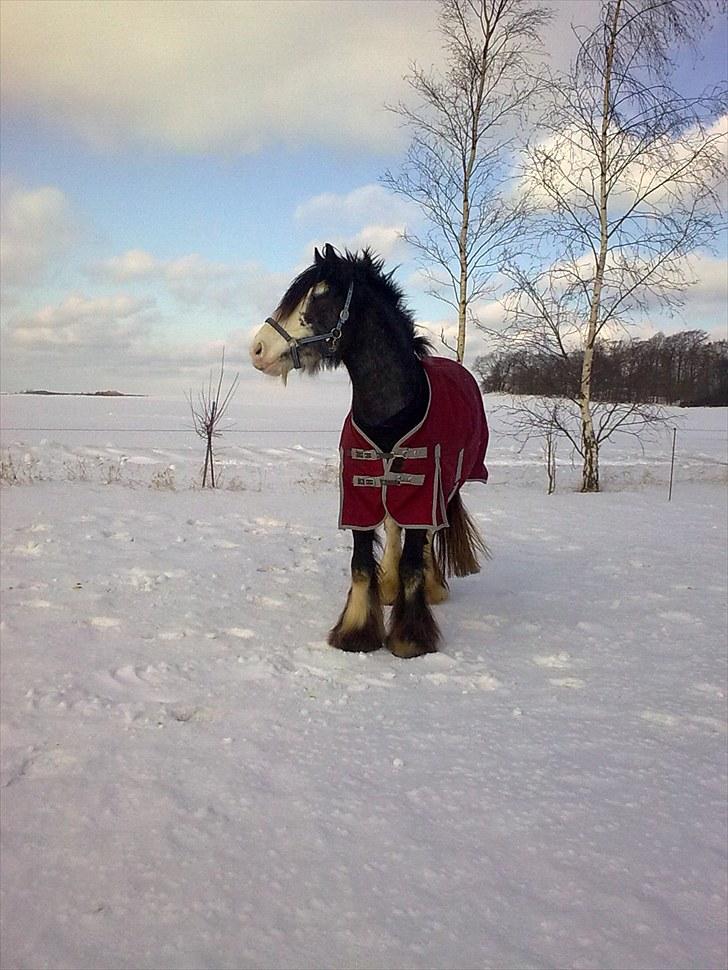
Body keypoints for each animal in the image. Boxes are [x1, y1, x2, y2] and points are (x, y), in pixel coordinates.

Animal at [250, 246, 490, 660]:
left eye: (321, 295)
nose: (257, 349)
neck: (389, 411)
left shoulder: (422, 487)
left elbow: (413, 558)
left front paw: (410, 637)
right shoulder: (358, 489)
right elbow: (361, 562)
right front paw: (357, 630)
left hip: (445, 486)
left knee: (427, 536)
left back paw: (433, 588)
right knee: (393, 527)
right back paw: (391, 588)